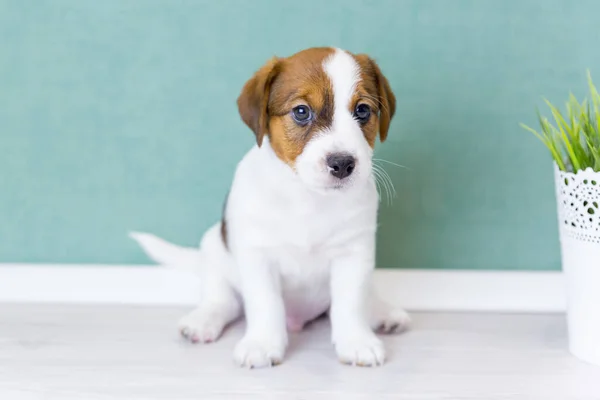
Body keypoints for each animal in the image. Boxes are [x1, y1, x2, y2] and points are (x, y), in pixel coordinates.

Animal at [132, 47, 410, 368]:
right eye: (301, 111)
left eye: (363, 110)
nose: (342, 164)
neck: (308, 197)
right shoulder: (258, 256)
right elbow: (266, 304)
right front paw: (262, 344)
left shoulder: (354, 253)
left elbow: (351, 304)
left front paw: (357, 341)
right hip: (214, 247)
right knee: (223, 301)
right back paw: (203, 321)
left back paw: (383, 313)